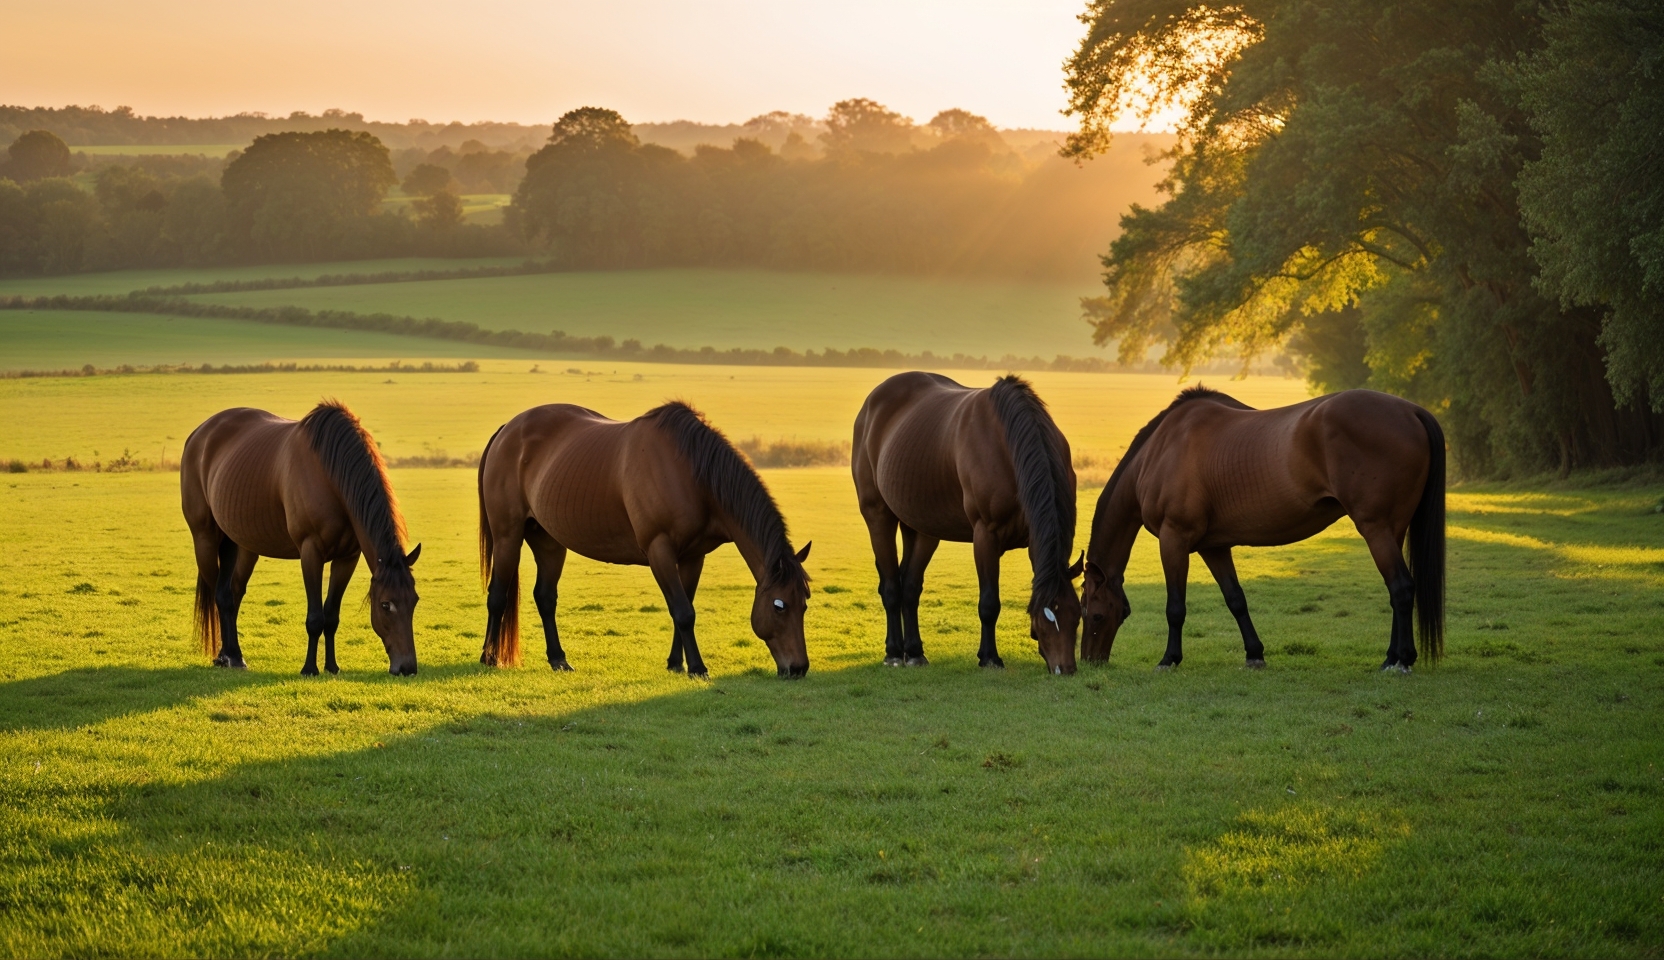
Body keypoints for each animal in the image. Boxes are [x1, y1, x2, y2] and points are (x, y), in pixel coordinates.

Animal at [180, 401, 422, 675]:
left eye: (414, 601)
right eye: (385, 605)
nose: (407, 667)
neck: (329, 476)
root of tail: (200, 434)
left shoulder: (347, 558)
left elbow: (331, 616)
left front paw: (332, 666)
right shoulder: (310, 551)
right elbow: (315, 617)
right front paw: (309, 668)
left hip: (239, 544)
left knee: (232, 592)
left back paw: (234, 655)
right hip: (205, 539)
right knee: (219, 597)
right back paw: (226, 655)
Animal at [476, 401, 812, 678]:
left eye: (805, 603)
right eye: (779, 606)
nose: (798, 668)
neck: (691, 475)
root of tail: (507, 430)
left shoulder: (693, 556)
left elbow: (684, 607)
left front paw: (677, 664)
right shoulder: (659, 550)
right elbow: (683, 612)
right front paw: (697, 668)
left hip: (549, 541)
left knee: (545, 597)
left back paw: (558, 659)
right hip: (508, 536)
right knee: (498, 595)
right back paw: (490, 657)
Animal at [852, 372, 1083, 674]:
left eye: (1077, 615)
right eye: (1045, 619)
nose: (1065, 669)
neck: (1008, 445)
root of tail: (871, 403)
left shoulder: (1035, 538)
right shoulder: (986, 535)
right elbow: (989, 603)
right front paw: (990, 657)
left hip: (922, 526)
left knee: (910, 586)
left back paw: (913, 652)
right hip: (878, 515)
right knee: (891, 586)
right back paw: (893, 653)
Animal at [1080, 386, 1445, 672]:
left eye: (1094, 615)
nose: (1090, 661)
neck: (1160, 451)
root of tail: (1412, 411)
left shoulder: (1174, 539)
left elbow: (1175, 607)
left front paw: (1169, 659)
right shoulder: (1213, 546)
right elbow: (1235, 599)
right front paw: (1254, 654)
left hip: (1376, 529)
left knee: (1400, 587)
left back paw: (1400, 661)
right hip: (1392, 530)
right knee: (1396, 590)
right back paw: (1393, 655)